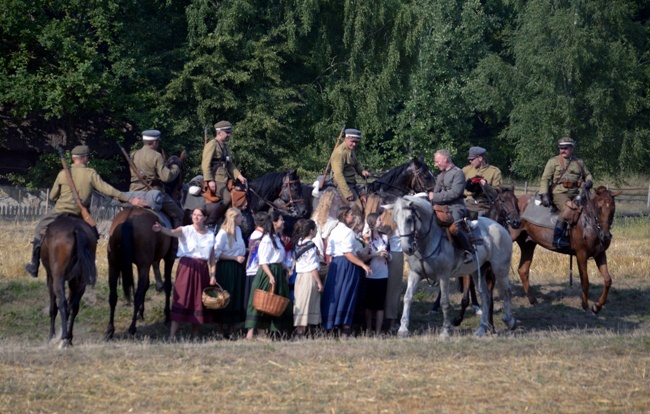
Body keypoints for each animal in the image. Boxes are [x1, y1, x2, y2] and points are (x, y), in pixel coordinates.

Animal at [41, 215, 97, 348]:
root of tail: (76, 229)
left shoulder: (50, 278)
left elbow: (53, 308)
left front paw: (51, 337)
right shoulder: (73, 282)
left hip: (58, 278)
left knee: (62, 303)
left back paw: (64, 338)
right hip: (80, 281)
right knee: (74, 307)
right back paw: (69, 339)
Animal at [104, 154, 185, 338]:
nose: (180, 191)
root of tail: (129, 219)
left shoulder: (147, 263)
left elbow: (147, 284)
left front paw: (141, 312)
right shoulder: (166, 259)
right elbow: (167, 284)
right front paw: (166, 316)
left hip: (114, 264)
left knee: (113, 295)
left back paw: (110, 329)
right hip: (142, 264)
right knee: (137, 292)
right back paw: (132, 328)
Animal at [388, 195, 512, 336]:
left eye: (409, 219)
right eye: (395, 220)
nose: (406, 248)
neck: (428, 240)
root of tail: (501, 228)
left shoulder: (444, 276)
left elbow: (444, 302)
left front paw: (446, 330)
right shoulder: (415, 274)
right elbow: (408, 298)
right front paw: (403, 329)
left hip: (500, 269)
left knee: (507, 292)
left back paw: (508, 321)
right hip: (477, 272)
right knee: (486, 298)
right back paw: (480, 330)